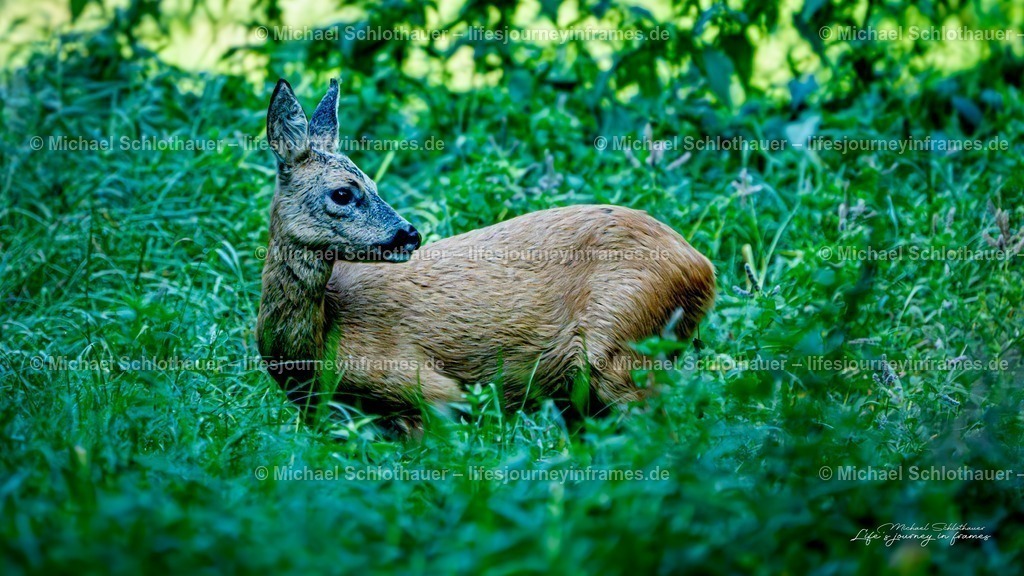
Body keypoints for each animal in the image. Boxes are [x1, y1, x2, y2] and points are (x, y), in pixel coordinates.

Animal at [256, 78, 716, 431]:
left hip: (623, 341)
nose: (410, 233)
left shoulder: (425, 388)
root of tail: (702, 267)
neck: (319, 343)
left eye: (373, 182)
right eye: (343, 192)